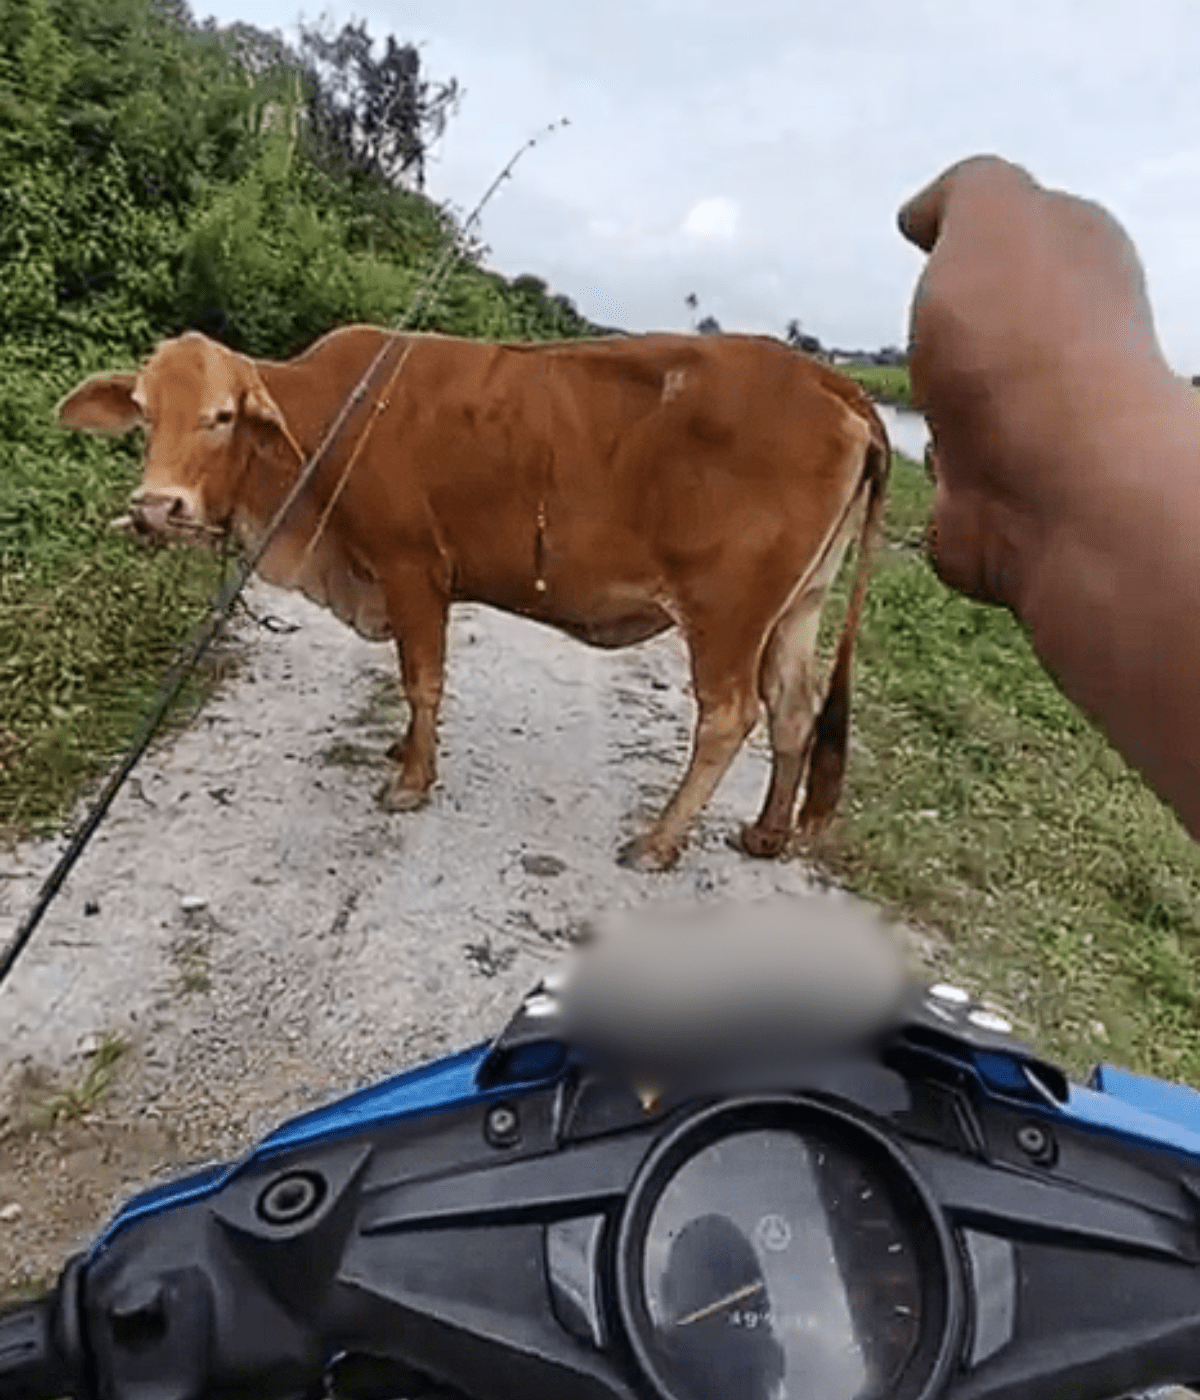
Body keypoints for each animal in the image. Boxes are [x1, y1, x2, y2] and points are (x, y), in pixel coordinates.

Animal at [57, 326, 890, 871]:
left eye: (222, 415)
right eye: (143, 411)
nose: (156, 507)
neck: (322, 430)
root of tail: (835, 383)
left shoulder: (411, 566)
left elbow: (421, 679)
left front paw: (410, 780)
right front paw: (403, 750)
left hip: (727, 612)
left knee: (729, 715)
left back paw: (657, 842)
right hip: (796, 606)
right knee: (792, 708)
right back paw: (766, 834)